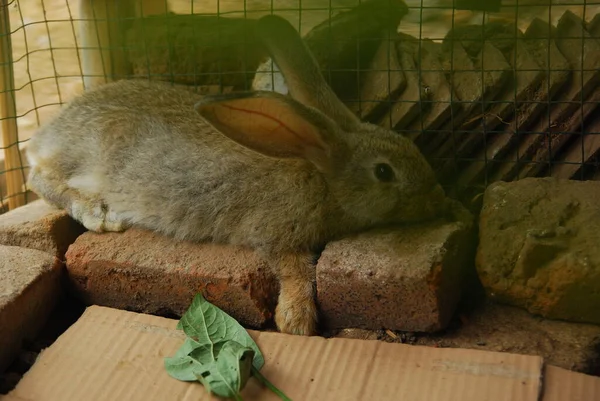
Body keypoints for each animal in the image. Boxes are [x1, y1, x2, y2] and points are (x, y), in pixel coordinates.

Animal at [25, 14, 446, 336]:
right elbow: (295, 270)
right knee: (41, 178)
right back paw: (97, 213)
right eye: (384, 172)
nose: (439, 197)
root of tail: (46, 133)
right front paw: (296, 321)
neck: (323, 178)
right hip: (86, 158)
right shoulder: (277, 235)